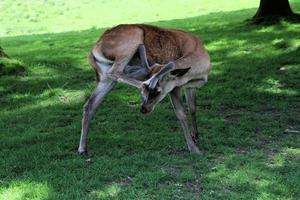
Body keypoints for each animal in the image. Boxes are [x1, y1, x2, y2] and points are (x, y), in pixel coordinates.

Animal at [78, 23, 212, 155]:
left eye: (157, 92)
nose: (143, 109)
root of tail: (93, 50)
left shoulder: (190, 87)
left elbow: (193, 108)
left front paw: (196, 137)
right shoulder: (175, 88)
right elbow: (181, 114)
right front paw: (194, 149)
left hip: (104, 78)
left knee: (89, 105)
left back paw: (82, 149)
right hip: (132, 39)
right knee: (115, 71)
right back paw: (141, 82)